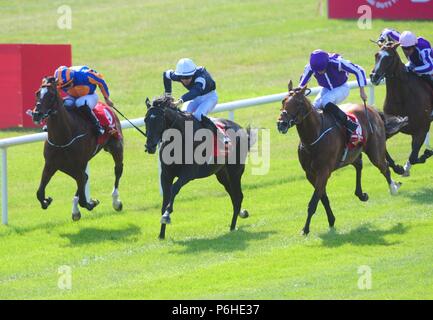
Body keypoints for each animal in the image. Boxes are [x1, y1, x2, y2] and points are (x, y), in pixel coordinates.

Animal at [31, 77, 122, 221]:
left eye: (51, 95)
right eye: (37, 93)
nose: (36, 114)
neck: (63, 137)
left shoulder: (79, 163)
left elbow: (84, 199)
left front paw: (92, 202)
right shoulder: (52, 164)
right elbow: (39, 192)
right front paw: (47, 200)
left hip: (116, 146)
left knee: (118, 170)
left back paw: (116, 201)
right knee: (84, 178)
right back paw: (75, 210)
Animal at [143, 96, 255, 239]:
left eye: (159, 120)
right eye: (145, 120)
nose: (150, 146)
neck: (179, 139)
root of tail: (241, 129)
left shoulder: (188, 174)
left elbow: (174, 189)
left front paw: (167, 215)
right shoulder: (166, 174)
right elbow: (165, 199)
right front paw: (161, 234)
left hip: (235, 172)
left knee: (238, 196)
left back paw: (233, 226)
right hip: (222, 175)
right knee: (234, 195)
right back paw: (237, 219)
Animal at [276, 80, 404, 235]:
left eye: (298, 103)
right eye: (283, 101)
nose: (281, 123)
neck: (314, 136)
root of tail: (372, 109)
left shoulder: (323, 172)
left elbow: (313, 201)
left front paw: (305, 229)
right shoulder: (310, 174)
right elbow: (323, 198)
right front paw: (331, 220)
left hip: (375, 151)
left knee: (384, 167)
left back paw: (393, 187)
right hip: (353, 153)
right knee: (359, 164)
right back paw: (362, 193)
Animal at [368, 41, 432, 176]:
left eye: (389, 57)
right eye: (376, 55)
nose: (374, 76)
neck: (402, 98)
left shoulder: (422, 129)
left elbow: (413, 157)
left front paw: (427, 153)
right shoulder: (391, 126)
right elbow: (385, 153)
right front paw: (398, 167)